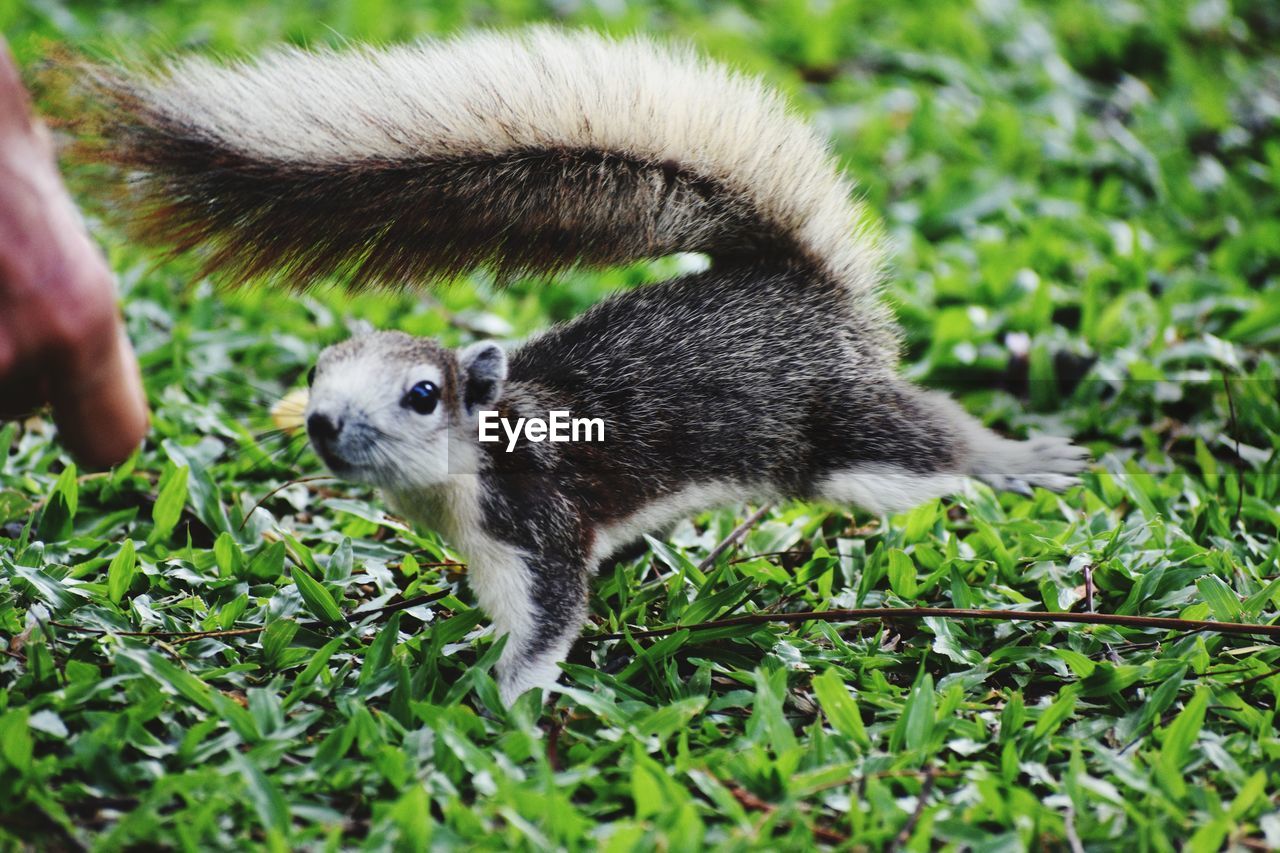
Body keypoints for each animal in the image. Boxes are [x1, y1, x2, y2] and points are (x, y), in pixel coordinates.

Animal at [67, 28, 1090, 701]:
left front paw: (502, 703)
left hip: (841, 431)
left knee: (932, 445)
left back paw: (1027, 458)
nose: (323, 426)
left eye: (423, 394)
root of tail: (806, 287)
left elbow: (552, 619)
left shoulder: (537, 526)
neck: (464, 477)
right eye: (318, 375)